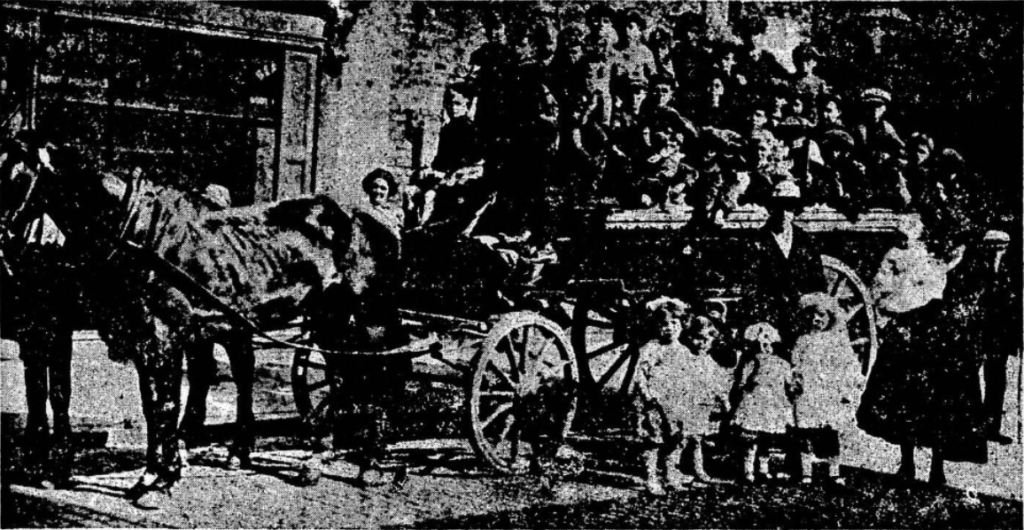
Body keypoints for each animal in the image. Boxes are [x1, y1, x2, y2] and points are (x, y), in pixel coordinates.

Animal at [3, 138, 387, 503]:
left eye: (20, 177)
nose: (3, 238)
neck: (140, 232)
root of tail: (362, 219)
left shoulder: (160, 334)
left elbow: (164, 403)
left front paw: (162, 478)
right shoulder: (141, 336)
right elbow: (151, 404)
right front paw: (150, 474)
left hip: (365, 319)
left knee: (374, 378)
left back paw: (371, 463)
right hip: (322, 320)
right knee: (334, 377)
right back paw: (311, 456)